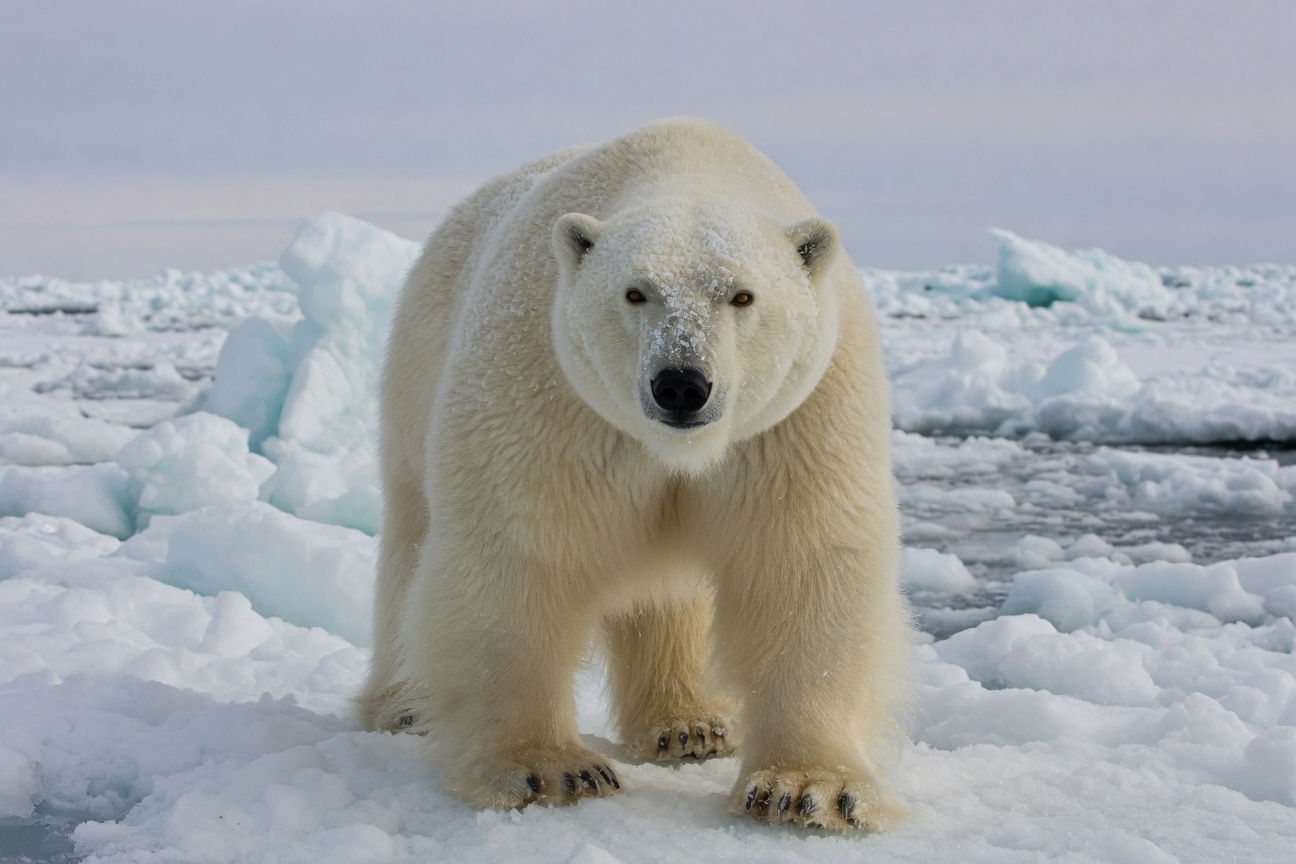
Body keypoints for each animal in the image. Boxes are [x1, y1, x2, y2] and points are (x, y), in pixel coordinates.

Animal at [356, 117, 910, 831]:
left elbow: (802, 560)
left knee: (666, 597)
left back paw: (692, 724)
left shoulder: (799, 416)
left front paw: (810, 790)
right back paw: (402, 706)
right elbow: (522, 550)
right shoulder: (548, 385)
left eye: (742, 295)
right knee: (412, 532)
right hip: (419, 359)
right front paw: (549, 770)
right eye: (635, 291)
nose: (681, 384)